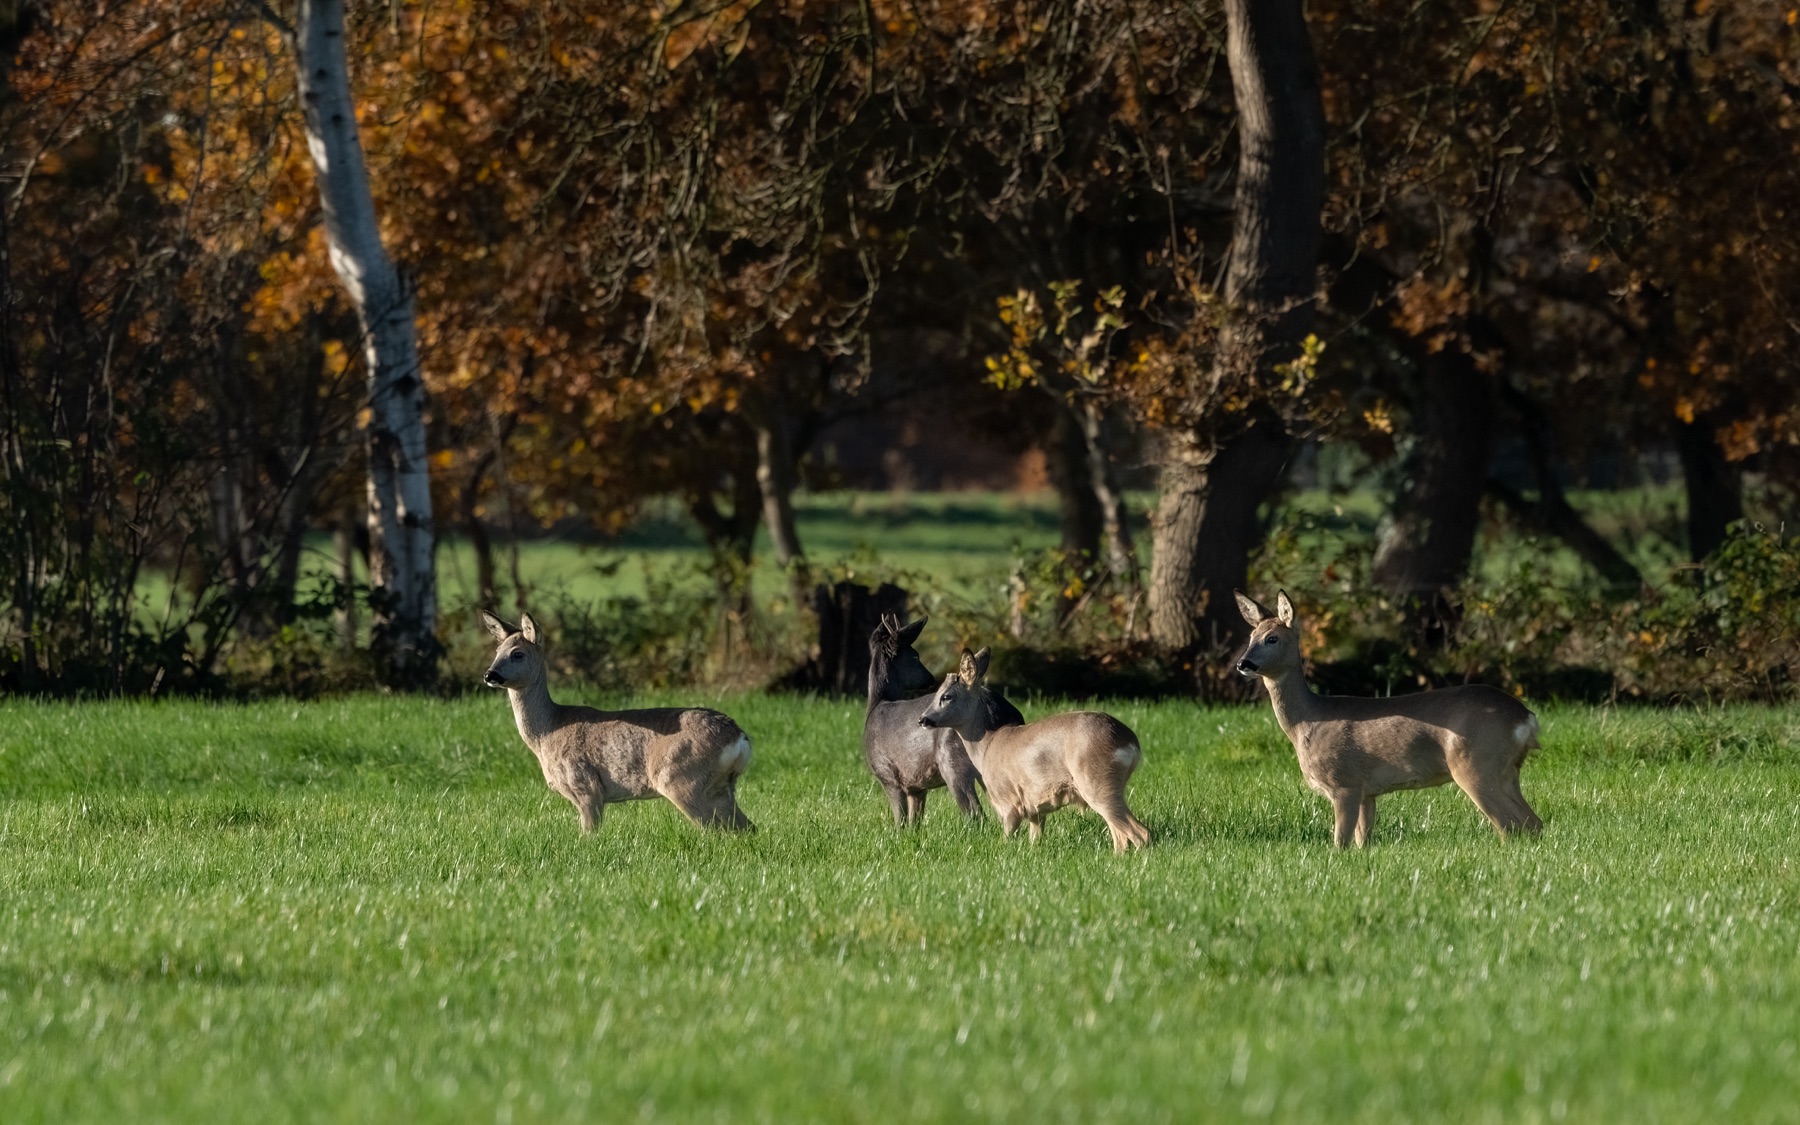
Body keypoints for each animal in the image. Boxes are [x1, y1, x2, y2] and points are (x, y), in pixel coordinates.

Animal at [479, 610, 754, 834]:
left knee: (713, 829)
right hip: (720, 787)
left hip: (680, 778)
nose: (490, 675)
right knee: (747, 827)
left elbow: (589, 834)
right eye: (496, 652)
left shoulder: (587, 786)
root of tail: (739, 737)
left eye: (517, 654)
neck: (548, 732)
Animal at [862, 614, 1025, 826]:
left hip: (953, 760)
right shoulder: (916, 786)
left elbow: (901, 821)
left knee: (975, 813)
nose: (930, 678)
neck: (876, 705)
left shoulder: (887, 774)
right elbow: (914, 822)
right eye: (915, 656)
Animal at [919, 648, 1150, 852]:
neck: (986, 747)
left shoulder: (1009, 803)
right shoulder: (1035, 810)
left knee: (1140, 833)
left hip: (1096, 782)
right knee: (1121, 836)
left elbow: (1005, 840)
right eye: (935, 694)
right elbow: (1034, 840)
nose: (923, 719)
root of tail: (1131, 743)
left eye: (946, 696)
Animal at [1233, 590, 1543, 848]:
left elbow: (1340, 842)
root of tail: (1526, 718)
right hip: (1507, 770)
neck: (1307, 722)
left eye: (1272, 638)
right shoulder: (1367, 791)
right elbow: (1362, 841)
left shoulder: (1344, 782)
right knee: (1533, 822)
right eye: (1250, 638)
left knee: (1509, 825)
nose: (1243, 664)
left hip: (1476, 763)